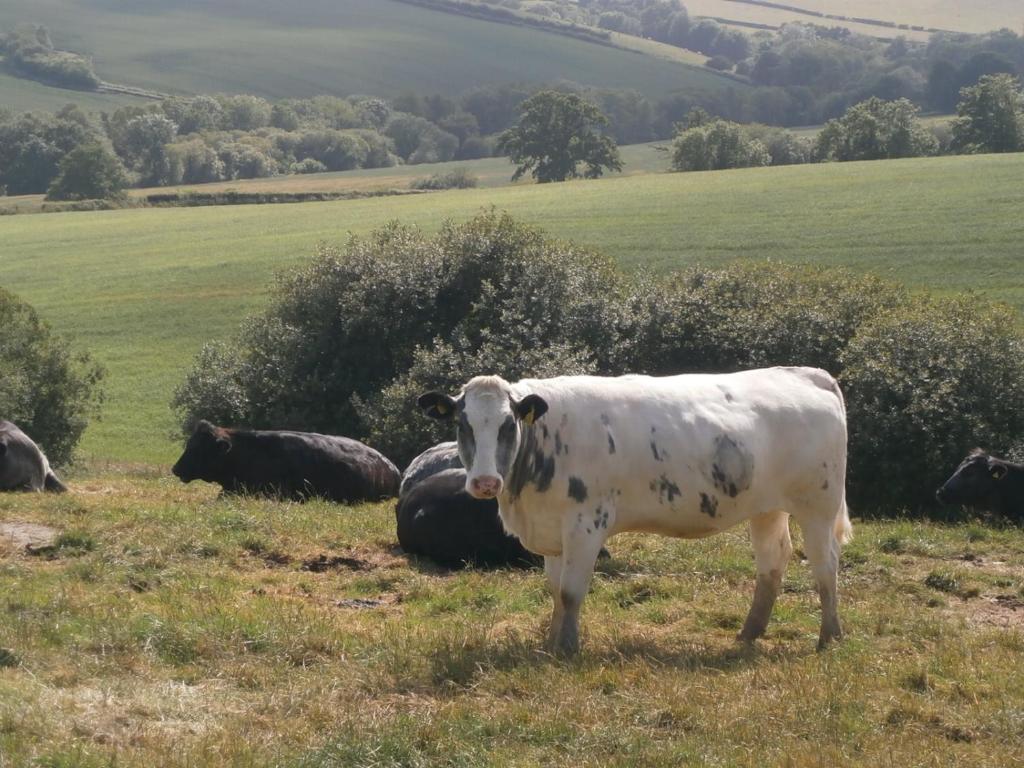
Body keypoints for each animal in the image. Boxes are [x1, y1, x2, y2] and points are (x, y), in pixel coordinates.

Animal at [419, 368, 851, 655]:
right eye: (462, 424)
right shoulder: (554, 532)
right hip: (767, 508)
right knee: (772, 562)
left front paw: (568, 649)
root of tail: (806, 374)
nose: (485, 482)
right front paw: (551, 641)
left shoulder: (585, 524)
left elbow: (571, 592)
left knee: (825, 565)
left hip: (818, 506)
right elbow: (555, 592)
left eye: (508, 425)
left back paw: (829, 636)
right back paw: (749, 633)